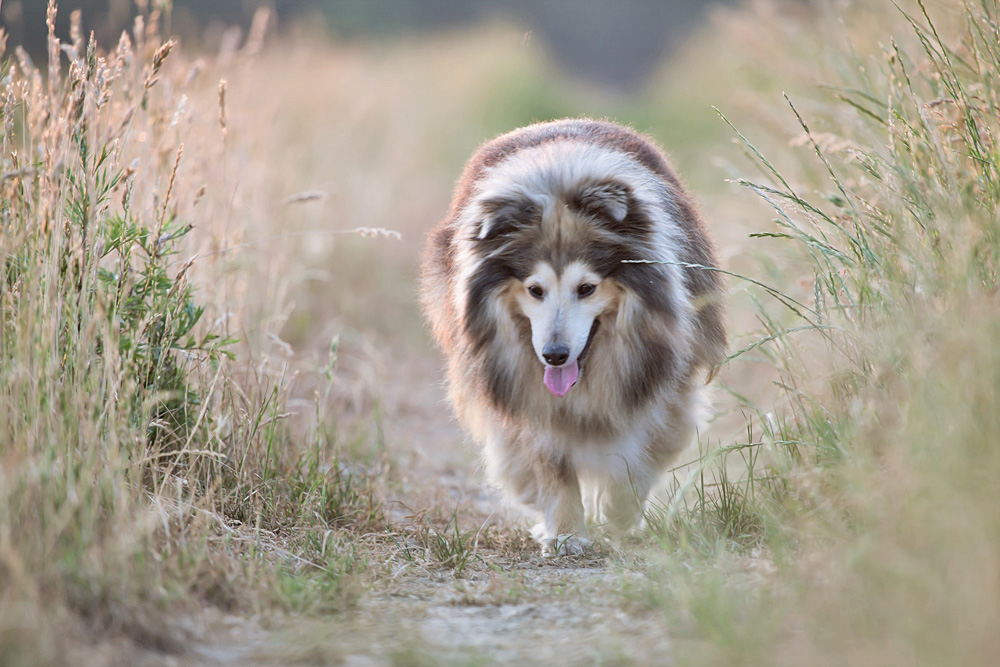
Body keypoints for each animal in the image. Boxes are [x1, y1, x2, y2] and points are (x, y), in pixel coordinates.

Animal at [418, 120, 724, 560]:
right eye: (535, 290)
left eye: (587, 288)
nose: (555, 356)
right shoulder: (521, 384)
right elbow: (550, 458)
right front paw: (565, 534)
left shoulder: (662, 369)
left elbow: (641, 447)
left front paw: (618, 513)